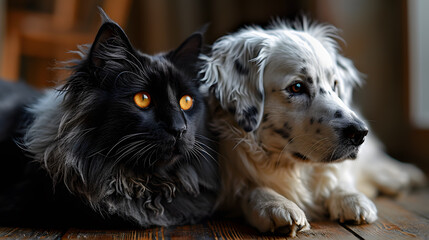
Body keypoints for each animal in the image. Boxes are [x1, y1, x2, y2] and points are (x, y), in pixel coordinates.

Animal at [198, 19, 424, 236]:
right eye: (296, 87)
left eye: (335, 84)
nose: (360, 133)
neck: (290, 166)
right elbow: (249, 190)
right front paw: (275, 205)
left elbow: (339, 177)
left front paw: (350, 197)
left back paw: (404, 176)